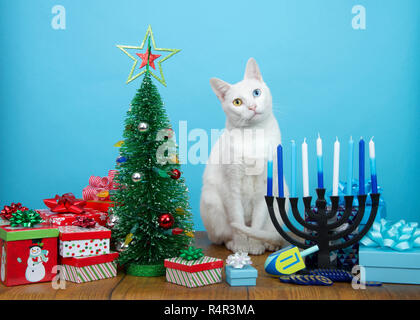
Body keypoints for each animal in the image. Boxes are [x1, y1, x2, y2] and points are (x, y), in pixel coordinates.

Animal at [200, 57, 288, 252]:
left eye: (256, 93)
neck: (253, 136)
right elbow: (238, 223)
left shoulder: (265, 187)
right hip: (212, 203)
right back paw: (233, 244)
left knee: (268, 232)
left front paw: (255, 246)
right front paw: (242, 247)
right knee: (222, 236)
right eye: (238, 102)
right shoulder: (231, 188)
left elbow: (257, 224)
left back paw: (269, 245)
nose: (252, 106)